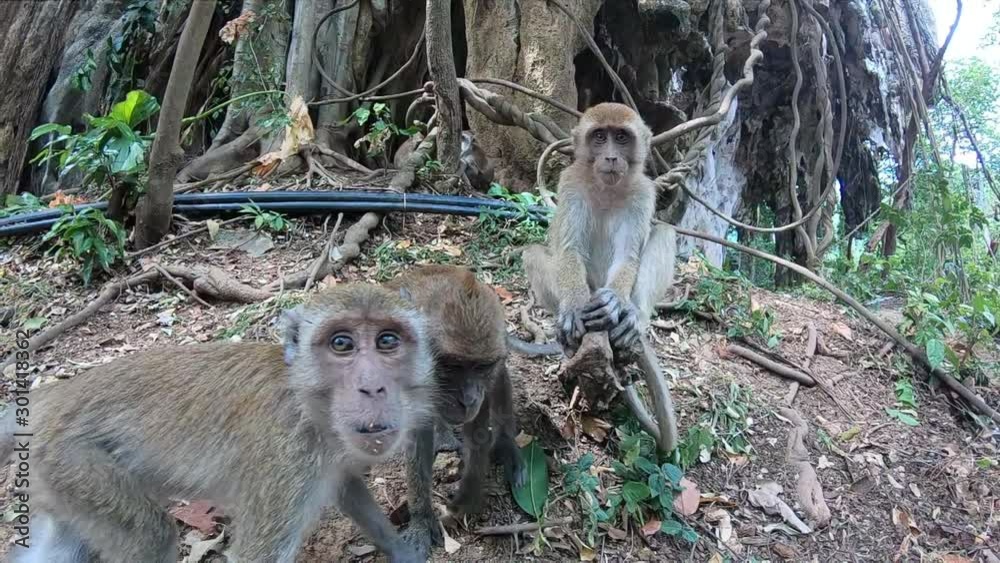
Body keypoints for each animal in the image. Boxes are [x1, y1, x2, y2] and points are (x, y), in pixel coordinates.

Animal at [0, 284, 434, 563]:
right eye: (341, 343)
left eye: (387, 341)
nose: (372, 386)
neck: (307, 402)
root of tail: (51, 396)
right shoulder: (286, 461)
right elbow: (256, 556)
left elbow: (349, 489)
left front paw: (402, 551)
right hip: (74, 461)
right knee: (151, 536)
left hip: (57, 476)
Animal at [386, 265, 526, 556]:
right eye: (453, 366)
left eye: (481, 367)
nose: (468, 398)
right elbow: (418, 441)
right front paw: (421, 519)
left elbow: (478, 431)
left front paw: (467, 496)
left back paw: (505, 444)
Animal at [522, 102, 677, 356]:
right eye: (600, 137)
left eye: (622, 137)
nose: (611, 157)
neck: (607, 189)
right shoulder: (572, 184)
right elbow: (570, 250)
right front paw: (574, 308)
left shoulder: (643, 193)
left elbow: (627, 256)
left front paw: (613, 300)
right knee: (532, 253)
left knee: (665, 232)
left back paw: (634, 315)